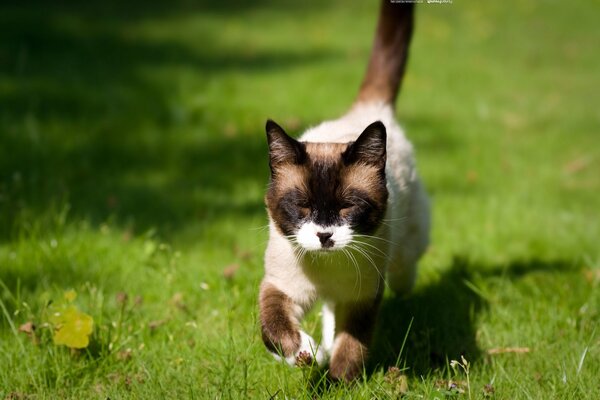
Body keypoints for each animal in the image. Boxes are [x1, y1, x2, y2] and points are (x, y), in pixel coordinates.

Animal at [255, 0, 428, 382]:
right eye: (303, 207)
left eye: (348, 207)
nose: (324, 235)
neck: (326, 268)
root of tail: (369, 110)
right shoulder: (280, 287)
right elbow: (273, 329)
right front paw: (306, 354)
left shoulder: (361, 298)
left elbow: (351, 348)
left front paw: (336, 382)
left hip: (405, 252)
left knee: (404, 274)